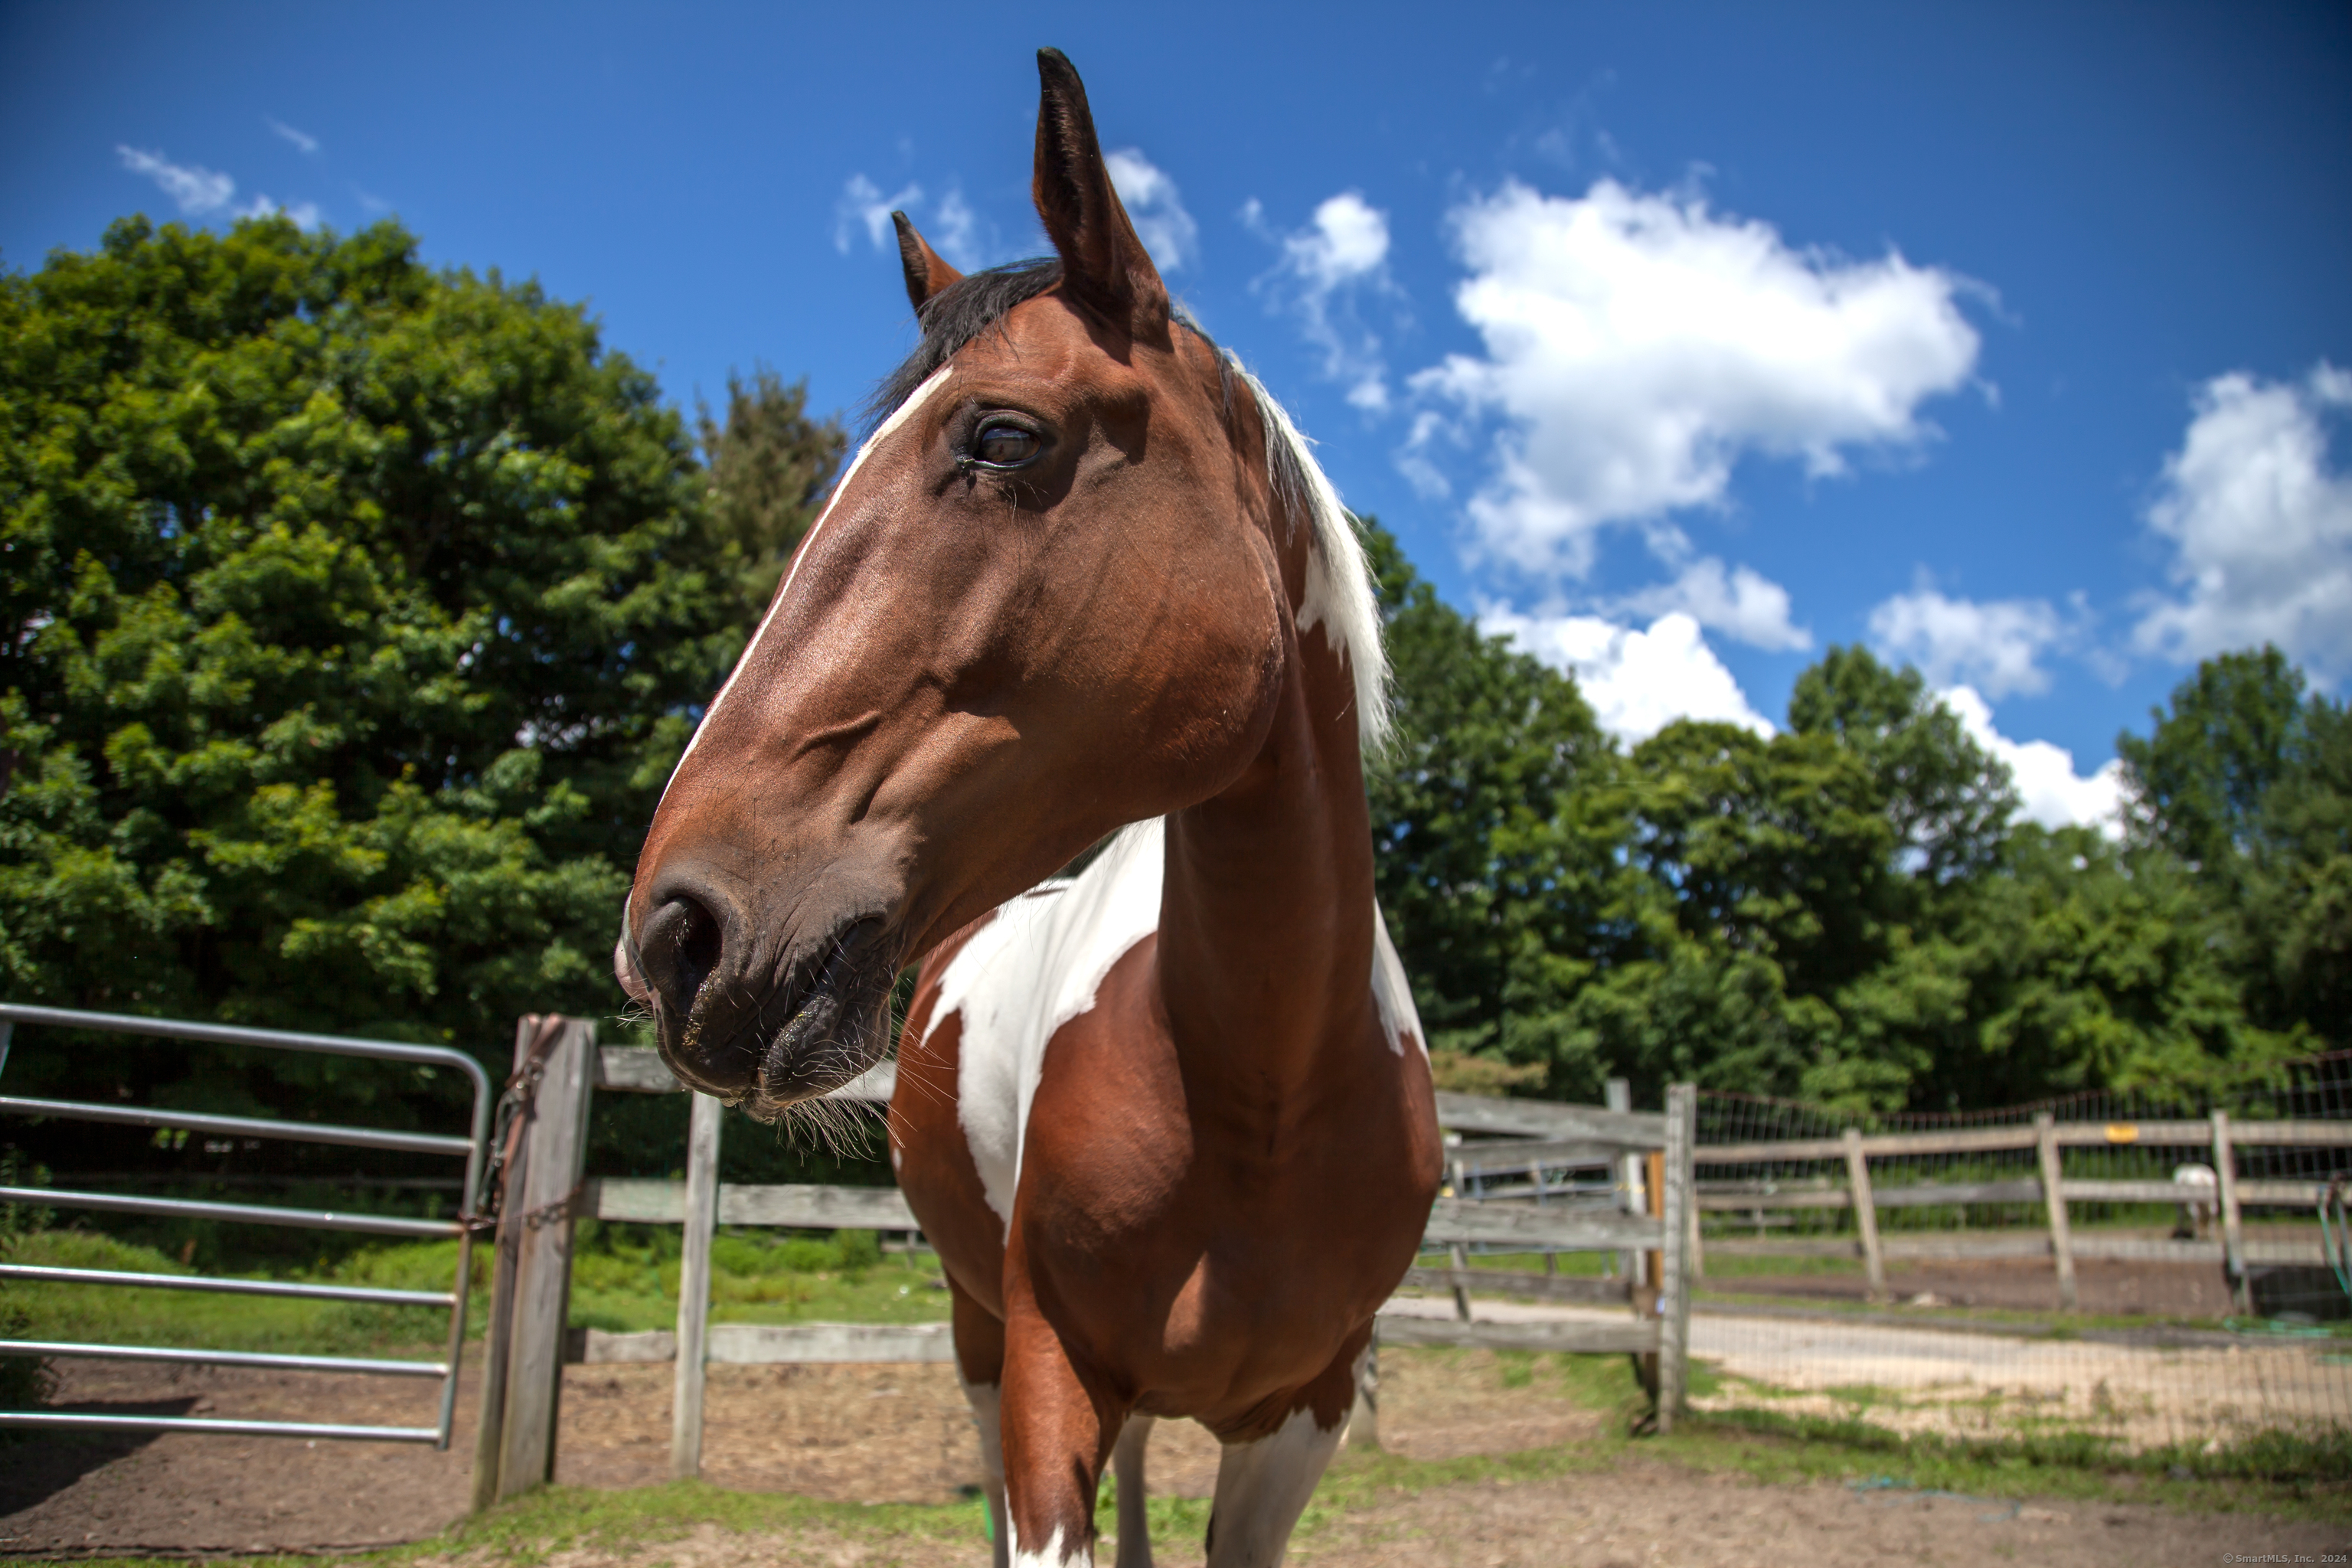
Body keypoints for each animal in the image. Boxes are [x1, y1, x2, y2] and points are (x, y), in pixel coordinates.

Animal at [616, 49, 1439, 1568]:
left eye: (1002, 435)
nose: (675, 935)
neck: (1266, 1088)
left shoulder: (1305, 1414)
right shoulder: (1050, 1372)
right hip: (976, 1330)